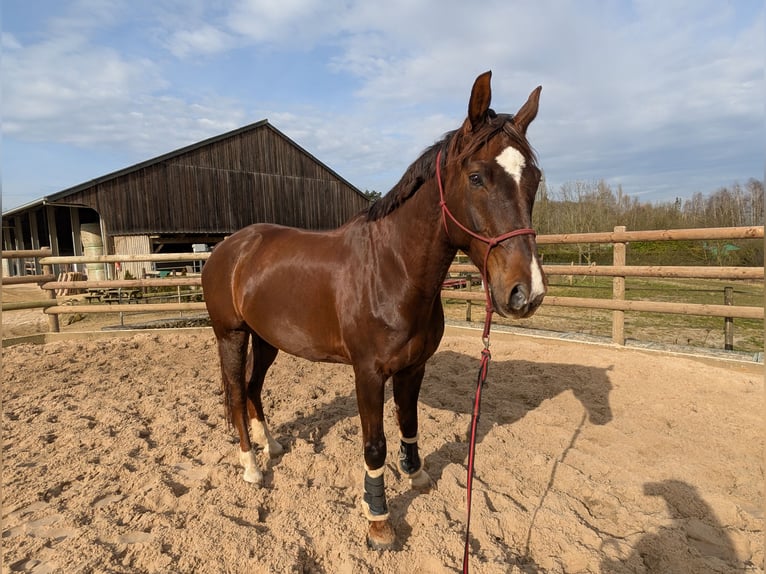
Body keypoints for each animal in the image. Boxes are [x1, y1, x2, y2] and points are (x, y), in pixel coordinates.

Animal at [201, 71, 548, 548]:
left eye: (534, 178)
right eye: (477, 177)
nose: (525, 292)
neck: (391, 270)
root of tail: (227, 248)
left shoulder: (413, 367)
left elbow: (408, 421)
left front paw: (417, 475)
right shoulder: (367, 373)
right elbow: (375, 443)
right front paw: (378, 517)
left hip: (267, 339)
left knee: (254, 390)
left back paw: (271, 446)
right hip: (231, 335)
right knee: (237, 394)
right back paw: (252, 466)